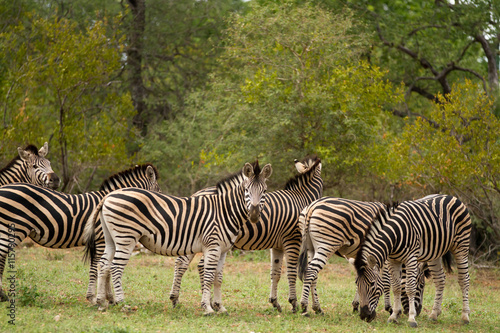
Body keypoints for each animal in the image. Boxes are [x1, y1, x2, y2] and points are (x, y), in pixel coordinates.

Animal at [0, 163, 159, 300]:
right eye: (158, 191)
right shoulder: (100, 239)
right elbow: (97, 267)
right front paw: (94, 298)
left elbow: (103, 267)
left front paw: (107, 298)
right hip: (13, 227)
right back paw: (3, 296)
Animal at [85, 160, 274, 314]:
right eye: (247, 190)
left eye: (264, 191)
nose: (255, 215)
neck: (225, 210)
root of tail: (108, 196)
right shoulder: (212, 247)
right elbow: (208, 276)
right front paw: (207, 308)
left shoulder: (223, 250)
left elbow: (218, 278)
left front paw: (220, 307)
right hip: (126, 237)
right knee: (116, 267)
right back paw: (122, 303)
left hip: (111, 238)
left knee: (103, 264)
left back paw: (101, 302)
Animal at [170, 156, 322, 312]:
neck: (300, 198)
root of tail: (196, 194)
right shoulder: (293, 240)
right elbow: (293, 273)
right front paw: (295, 303)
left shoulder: (277, 245)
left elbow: (275, 273)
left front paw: (275, 302)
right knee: (198, 265)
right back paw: (206, 302)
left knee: (182, 263)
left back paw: (177, 299)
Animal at [354, 193, 470, 326]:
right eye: (356, 283)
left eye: (372, 284)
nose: (363, 316)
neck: (395, 233)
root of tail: (450, 196)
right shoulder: (392, 260)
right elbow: (396, 287)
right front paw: (394, 316)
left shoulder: (411, 258)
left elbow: (409, 287)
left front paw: (411, 318)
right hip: (435, 253)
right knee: (440, 280)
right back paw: (434, 314)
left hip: (461, 246)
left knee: (464, 279)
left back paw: (465, 316)